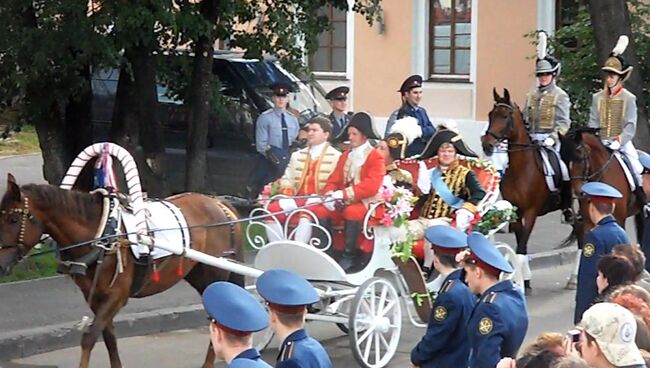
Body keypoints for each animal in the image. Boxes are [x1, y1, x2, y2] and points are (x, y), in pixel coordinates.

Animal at [0, 175, 242, 368]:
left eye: (13, 219)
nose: (1, 264)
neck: (101, 233)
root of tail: (218, 204)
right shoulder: (95, 297)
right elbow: (108, 337)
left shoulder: (117, 296)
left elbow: (89, 337)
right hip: (198, 275)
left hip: (214, 275)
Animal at [476, 88, 572, 258]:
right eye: (490, 114)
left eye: (505, 116)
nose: (487, 144)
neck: (521, 170)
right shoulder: (515, 211)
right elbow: (520, 244)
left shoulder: (531, 212)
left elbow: (522, 246)